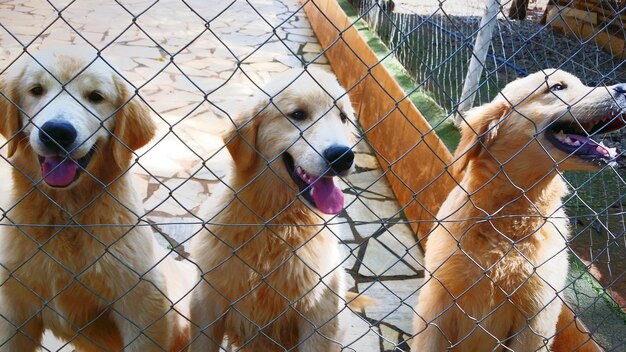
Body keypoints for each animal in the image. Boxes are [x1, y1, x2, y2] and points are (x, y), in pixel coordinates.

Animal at [0, 47, 193, 352]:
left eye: (95, 97)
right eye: (36, 90)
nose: (57, 132)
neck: (67, 214)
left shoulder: (143, 306)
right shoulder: (13, 307)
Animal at [188, 68, 356, 352]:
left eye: (342, 117)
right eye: (298, 114)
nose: (343, 156)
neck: (276, 223)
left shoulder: (319, 314)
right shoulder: (208, 302)